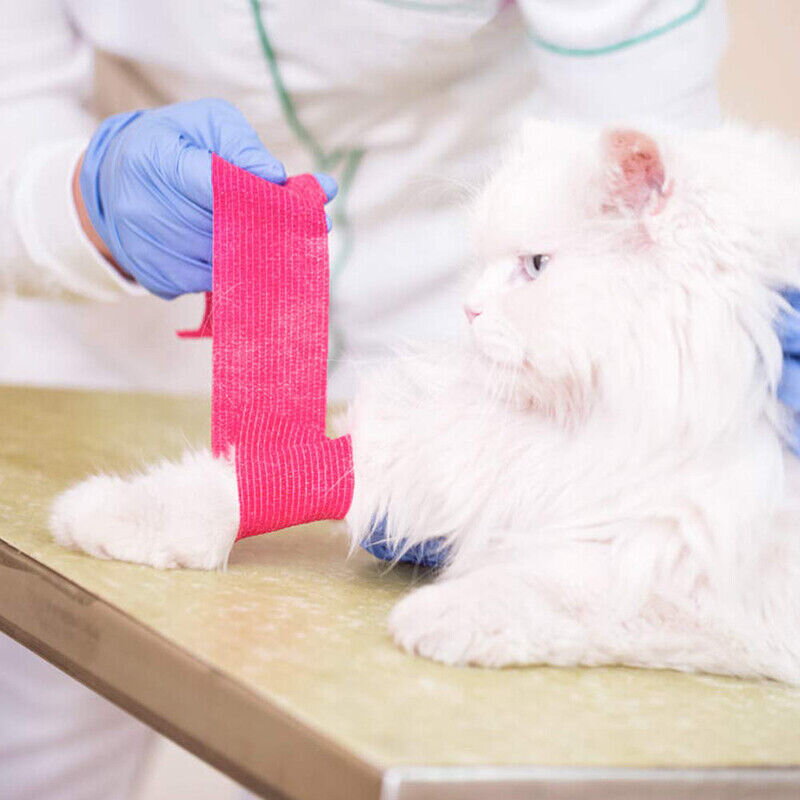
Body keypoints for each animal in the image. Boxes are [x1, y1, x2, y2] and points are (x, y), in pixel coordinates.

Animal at [51, 120, 800, 683]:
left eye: (535, 267)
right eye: (483, 264)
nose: (468, 309)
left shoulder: (700, 581)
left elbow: (561, 589)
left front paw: (440, 618)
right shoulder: (432, 454)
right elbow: (239, 485)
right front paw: (98, 516)